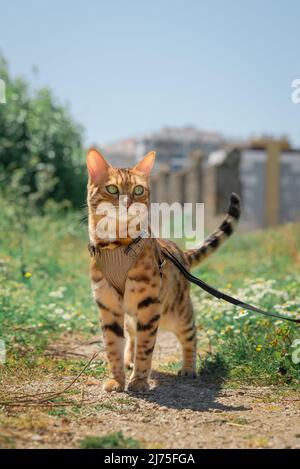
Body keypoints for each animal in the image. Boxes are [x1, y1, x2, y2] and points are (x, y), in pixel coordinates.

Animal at [86, 148, 241, 390]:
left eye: (138, 190)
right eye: (112, 189)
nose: (128, 203)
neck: (116, 245)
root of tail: (181, 252)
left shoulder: (149, 305)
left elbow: (145, 347)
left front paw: (139, 381)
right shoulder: (108, 305)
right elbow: (113, 346)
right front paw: (117, 379)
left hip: (175, 313)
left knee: (190, 334)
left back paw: (188, 368)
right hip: (133, 313)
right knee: (131, 335)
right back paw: (128, 360)